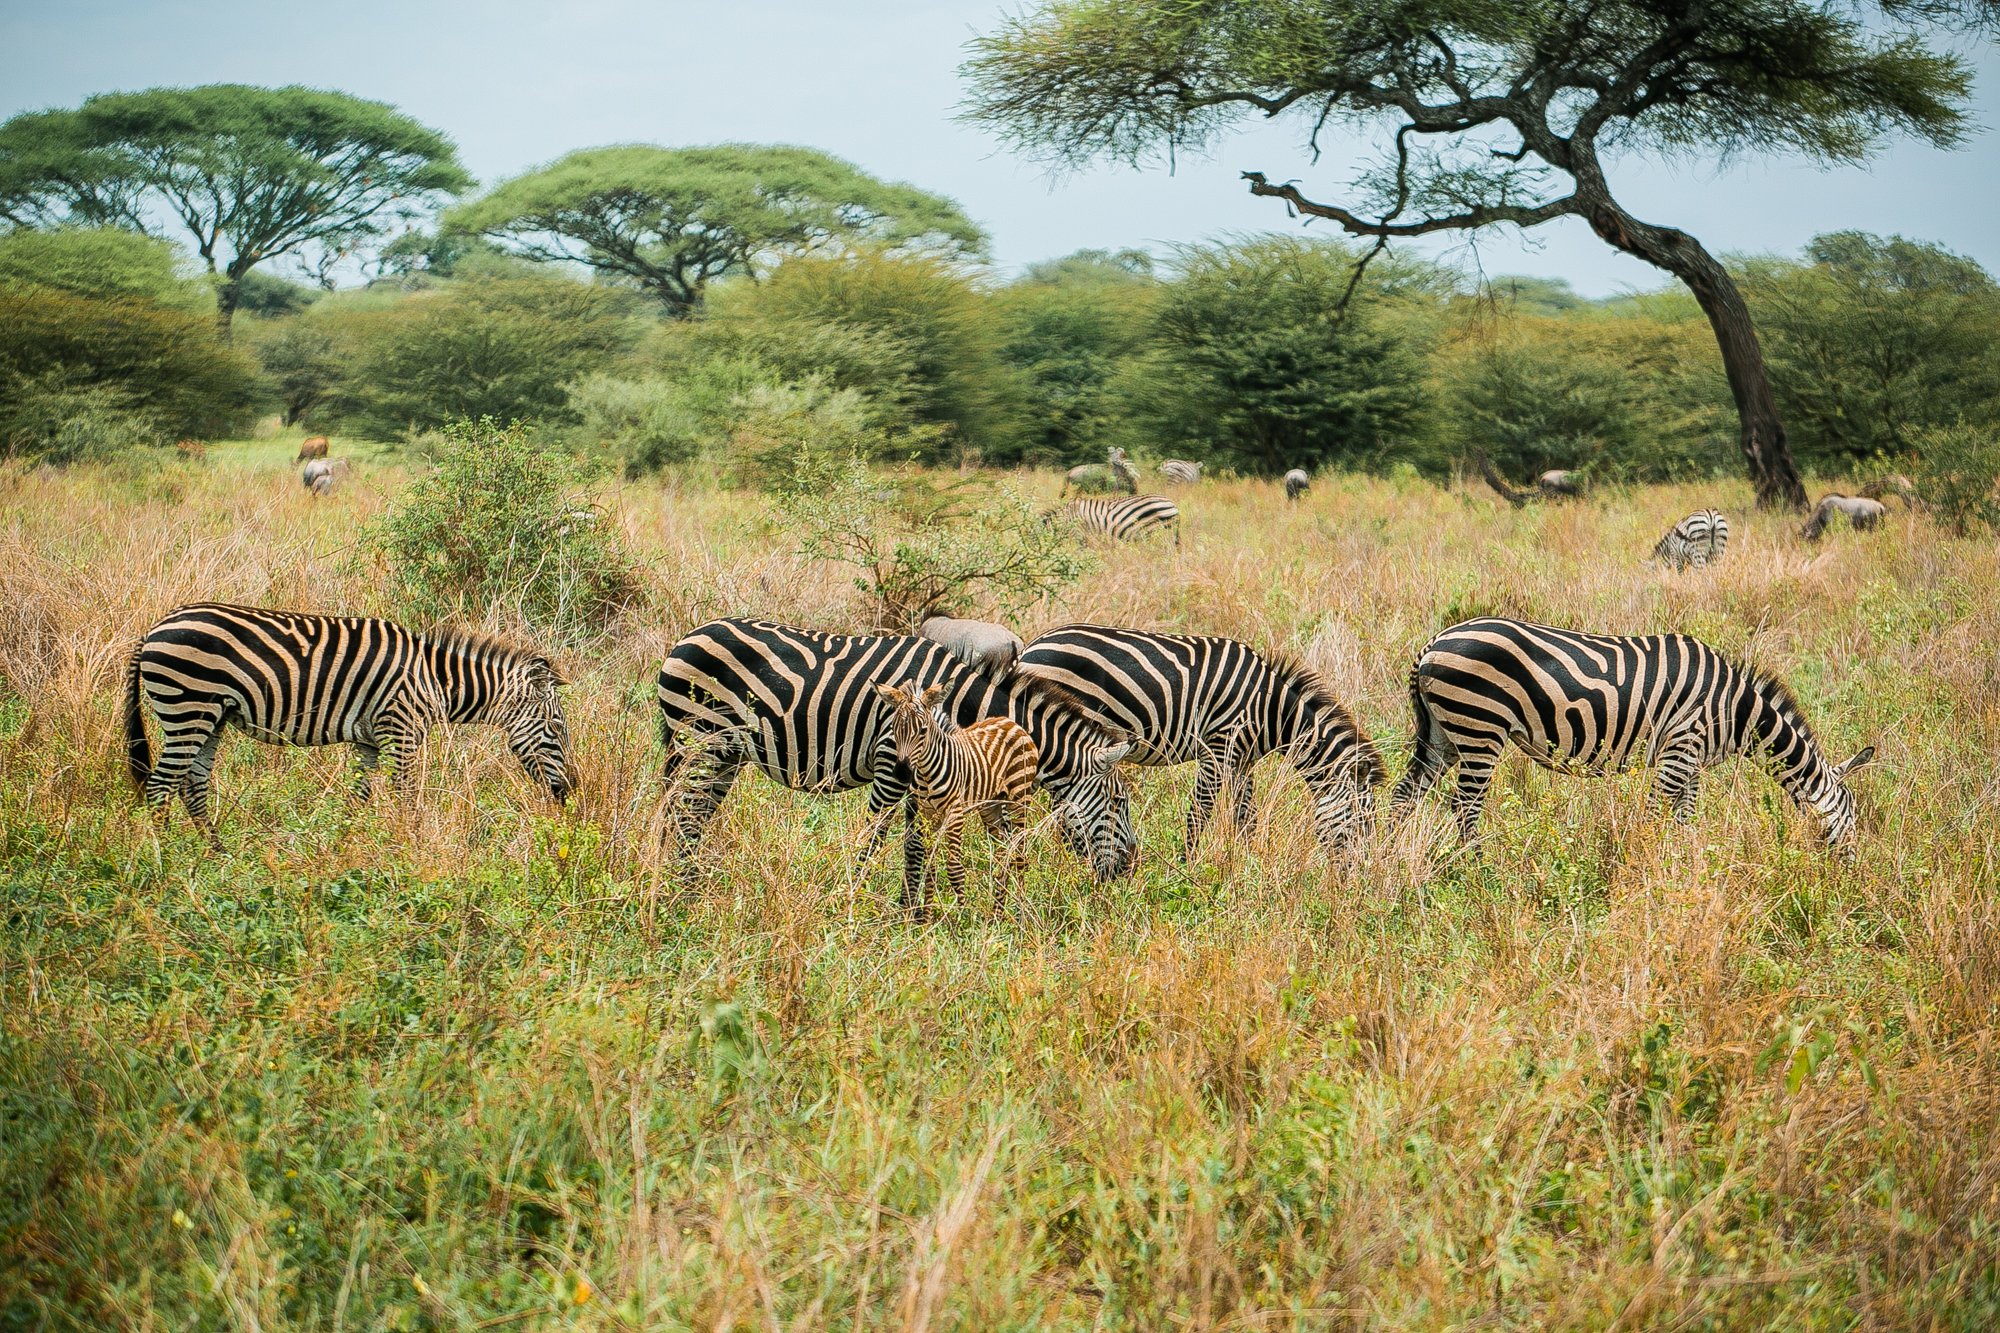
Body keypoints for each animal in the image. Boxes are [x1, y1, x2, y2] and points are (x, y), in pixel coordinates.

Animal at [123, 603, 574, 843]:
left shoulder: (370, 740)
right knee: (161, 785)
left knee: (191, 784)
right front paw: (411, 846)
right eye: (556, 728)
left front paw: (342, 847)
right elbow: (407, 796)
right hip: (188, 705)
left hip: (211, 716)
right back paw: (171, 857)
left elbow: (358, 798)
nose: (567, 792)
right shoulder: (401, 730)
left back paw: (215, 852)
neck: (432, 678)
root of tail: (153, 629)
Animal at [874, 681, 1040, 914]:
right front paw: (926, 916)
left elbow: (954, 869)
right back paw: (997, 913)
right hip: (990, 805)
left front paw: (963, 917)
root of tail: (1012, 722)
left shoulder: (955, 813)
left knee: (1020, 854)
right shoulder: (927, 815)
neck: (925, 773)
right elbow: (930, 866)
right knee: (1003, 852)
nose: (901, 773)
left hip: (1019, 797)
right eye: (894, 730)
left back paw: (1020, 912)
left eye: (923, 731)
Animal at [1018, 626, 1384, 854]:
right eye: (1362, 822)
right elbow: (1200, 812)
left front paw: (1247, 863)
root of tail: (1031, 647)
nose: (1358, 877)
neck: (1270, 708)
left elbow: (1245, 816)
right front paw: (1189, 865)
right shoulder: (1217, 749)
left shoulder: (1241, 759)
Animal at [1388, 617, 1874, 850]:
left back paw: (1381, 861)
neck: (1736, 711)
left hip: (1444, 735)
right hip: (1480, 729)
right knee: (1463, 806)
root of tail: (1432, 644)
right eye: (1850, 817)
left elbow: (1684, 820)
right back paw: (1479, 869)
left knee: (1404, 797)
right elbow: (1658, 814)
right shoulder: (1681, 748)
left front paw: (1682, 867)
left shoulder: (1691, 760)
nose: (1851, 875)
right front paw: (1644, 868)